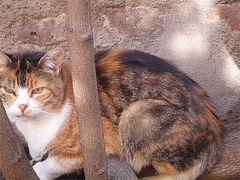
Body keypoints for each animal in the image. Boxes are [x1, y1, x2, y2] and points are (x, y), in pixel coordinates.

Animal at [0, 47, 223, 179]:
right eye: (9, 90)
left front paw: (38, 168)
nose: (22, 106)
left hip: (135, 115)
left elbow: (56, 161)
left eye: (37, 90)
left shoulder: (99, 143)